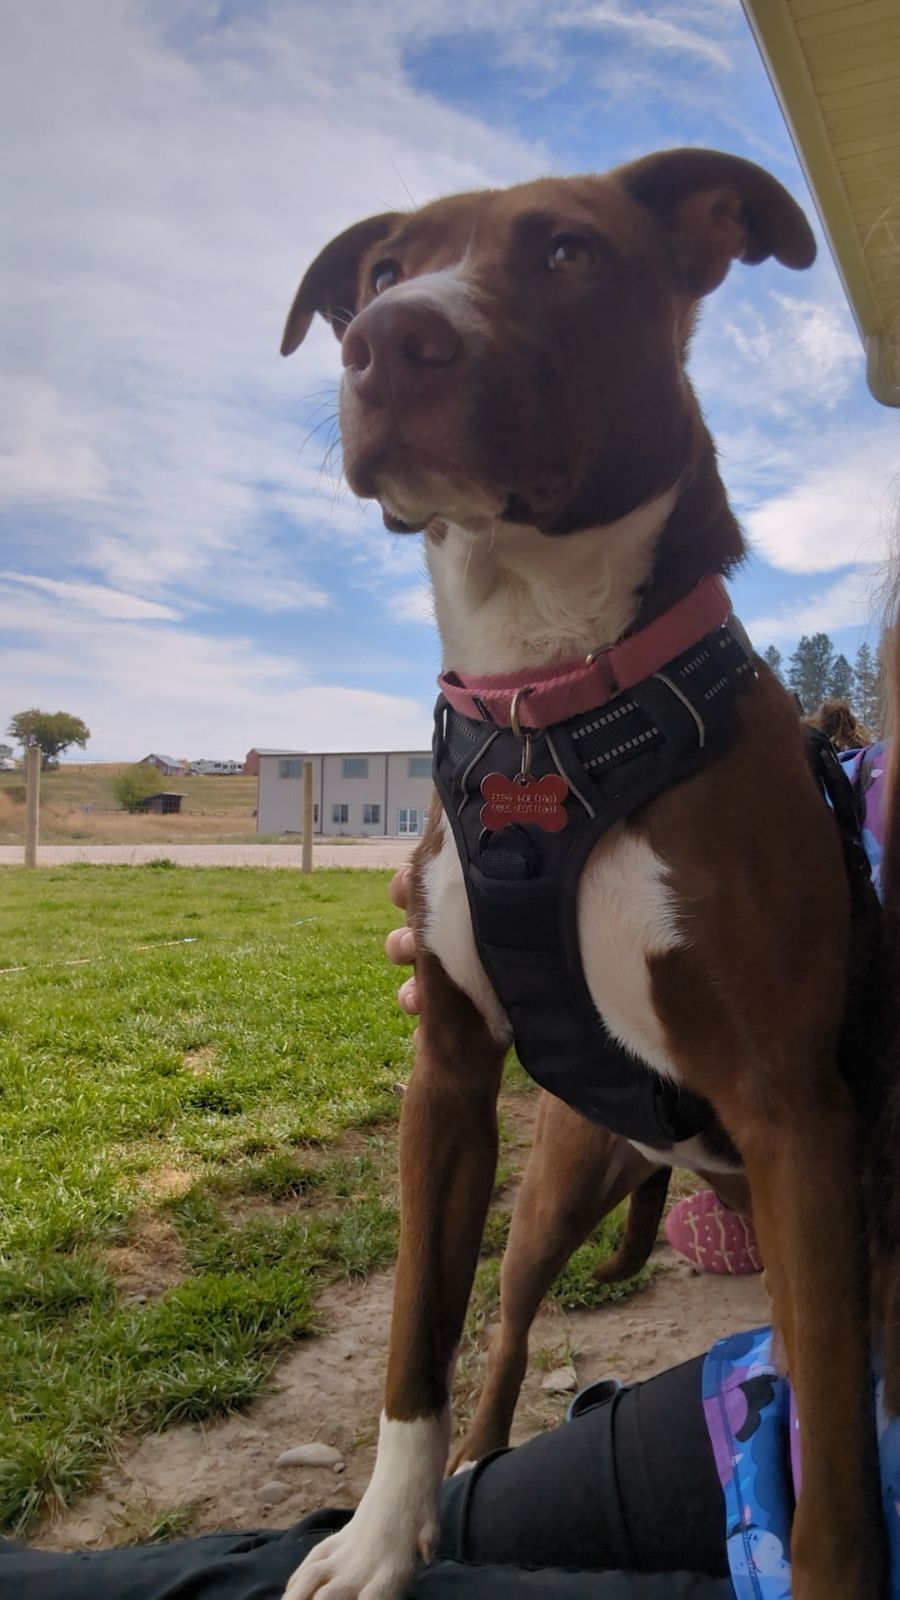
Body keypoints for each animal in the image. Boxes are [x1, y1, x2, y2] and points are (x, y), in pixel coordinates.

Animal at [280, 147, 890, 1587]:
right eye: (381, 273)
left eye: (569, 254)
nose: (394, 338)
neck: (546, 698)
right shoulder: (447, 1080)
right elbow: (415, 1338)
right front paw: (380, 1538)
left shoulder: (795, 1120)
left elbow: (834, 1463)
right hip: (558, 1174)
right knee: (503, 1329)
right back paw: (471, 1466)